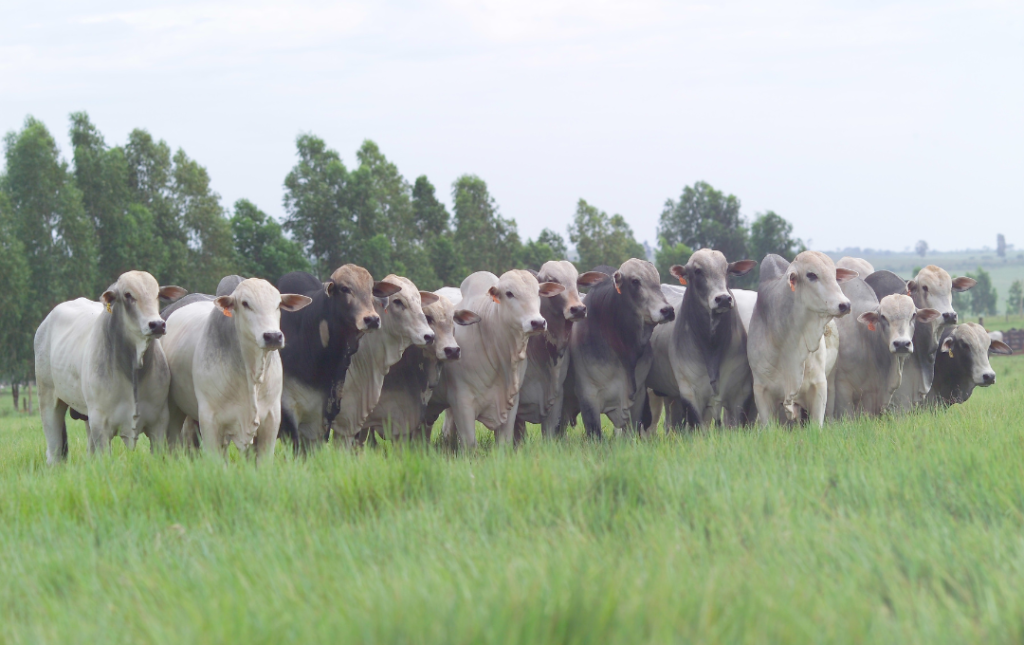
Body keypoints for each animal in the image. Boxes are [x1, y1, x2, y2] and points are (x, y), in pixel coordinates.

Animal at [35, 270, 187, 462]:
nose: (157, 324)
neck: (133, 368)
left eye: (157, 294)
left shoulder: (158, 424)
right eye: (128, 295)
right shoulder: (101, 425)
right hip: (48, 398)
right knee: (54, 450)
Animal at [160, 278, 307, 464]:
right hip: (175, 410)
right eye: (245, 303)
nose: (273, 336)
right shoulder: (209, 420)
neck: (251, 373)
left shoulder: (271, 420)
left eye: (278, 304)